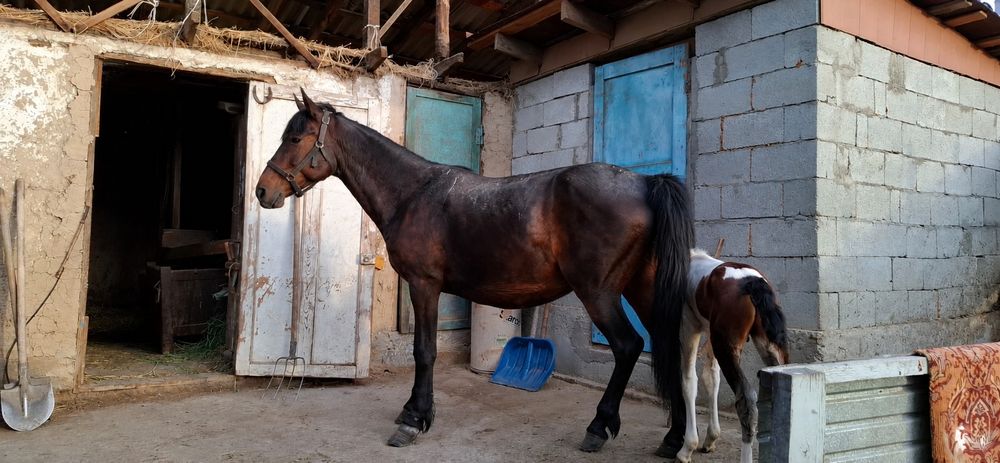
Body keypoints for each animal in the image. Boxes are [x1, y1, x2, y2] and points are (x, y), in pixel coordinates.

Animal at [253, 89, 694, 455]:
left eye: (295, 139)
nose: (263, 191)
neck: (413, 194)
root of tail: (646, 183)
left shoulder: (424, 286)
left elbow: (424, 351)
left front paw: (413, 420)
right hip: (642, 289)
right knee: (670, 345)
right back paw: (674, 439)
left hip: (599, 292)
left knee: (628, 346)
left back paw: (598, 428)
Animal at [676, 249, 789, 463]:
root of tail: (752, 282)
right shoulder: (709, 336)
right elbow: (711, 379)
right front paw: (710, 439)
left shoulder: (688, 328)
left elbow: (689, 382)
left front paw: (687, 448)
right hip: (770, 347)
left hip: (727, 348)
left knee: (746, 400)